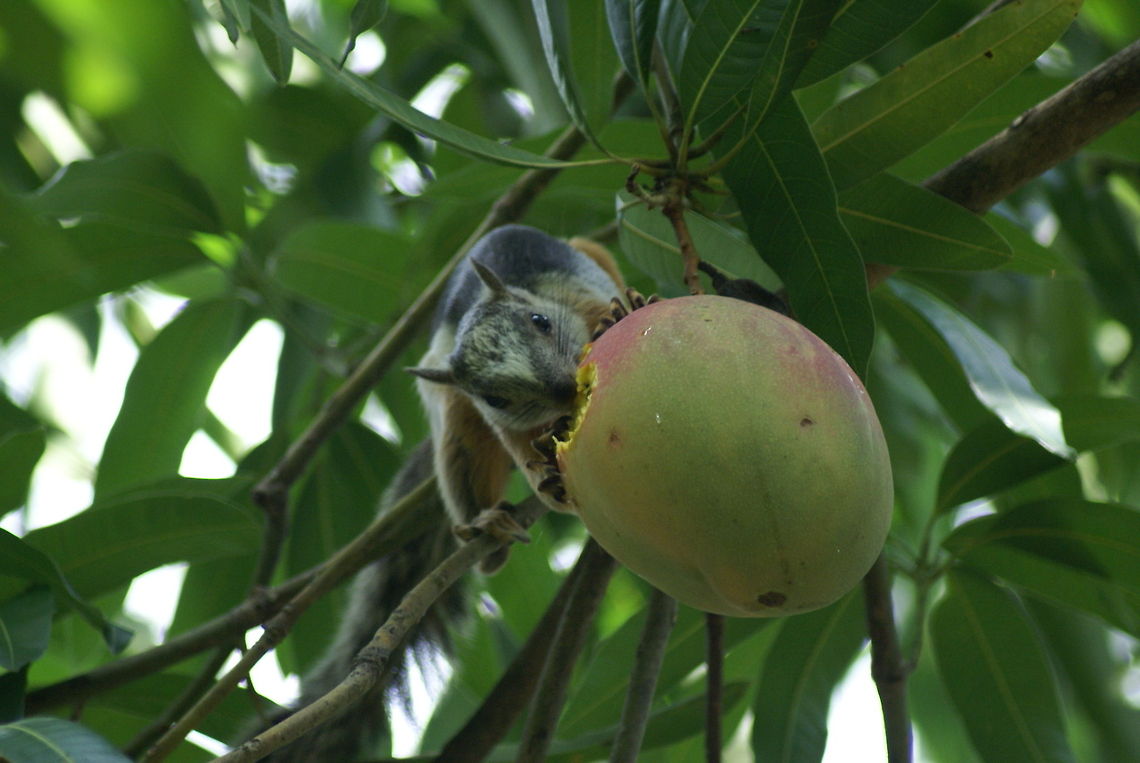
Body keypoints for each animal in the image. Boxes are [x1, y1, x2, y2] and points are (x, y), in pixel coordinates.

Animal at [256, 225, 625, 761]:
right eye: (495, 396)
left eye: (539, 321)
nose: (561, 391)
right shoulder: (498, 418)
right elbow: (517, 444)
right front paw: (547, 484)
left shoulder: (575, 293)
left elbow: (609, 309)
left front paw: (628, 310)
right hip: (450, 412)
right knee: (464, 452)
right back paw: (488, 528)